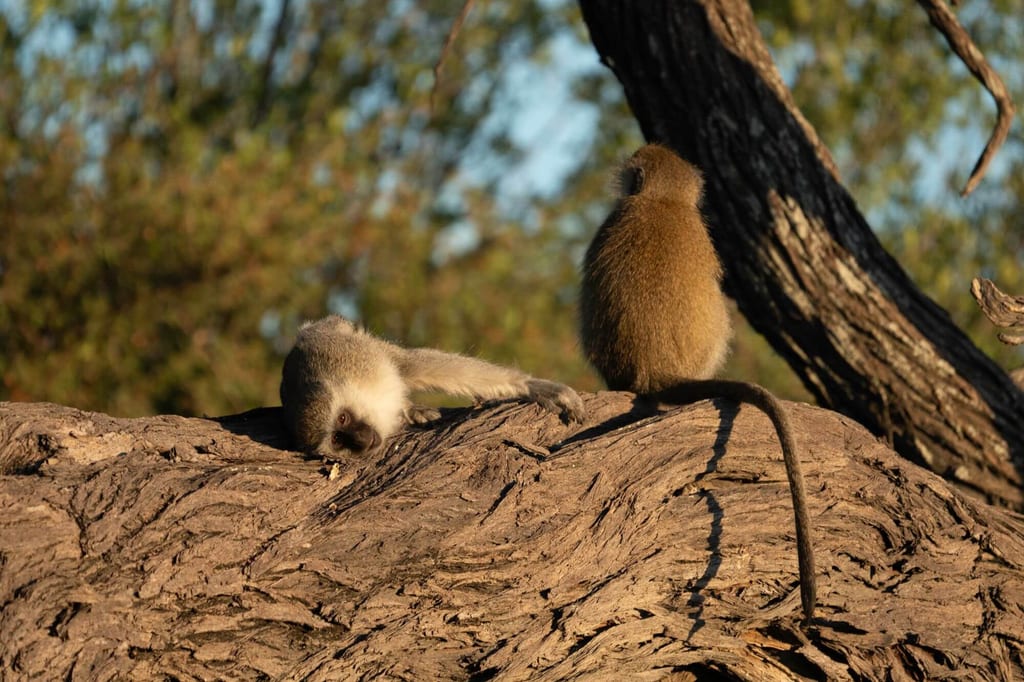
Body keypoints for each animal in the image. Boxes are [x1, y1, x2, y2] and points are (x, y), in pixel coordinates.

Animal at [280, 315, 585, 460]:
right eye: (337, 439)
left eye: (343, 418)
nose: (361, 441)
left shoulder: (366, 366)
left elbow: (411, 366)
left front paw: (533, 386)